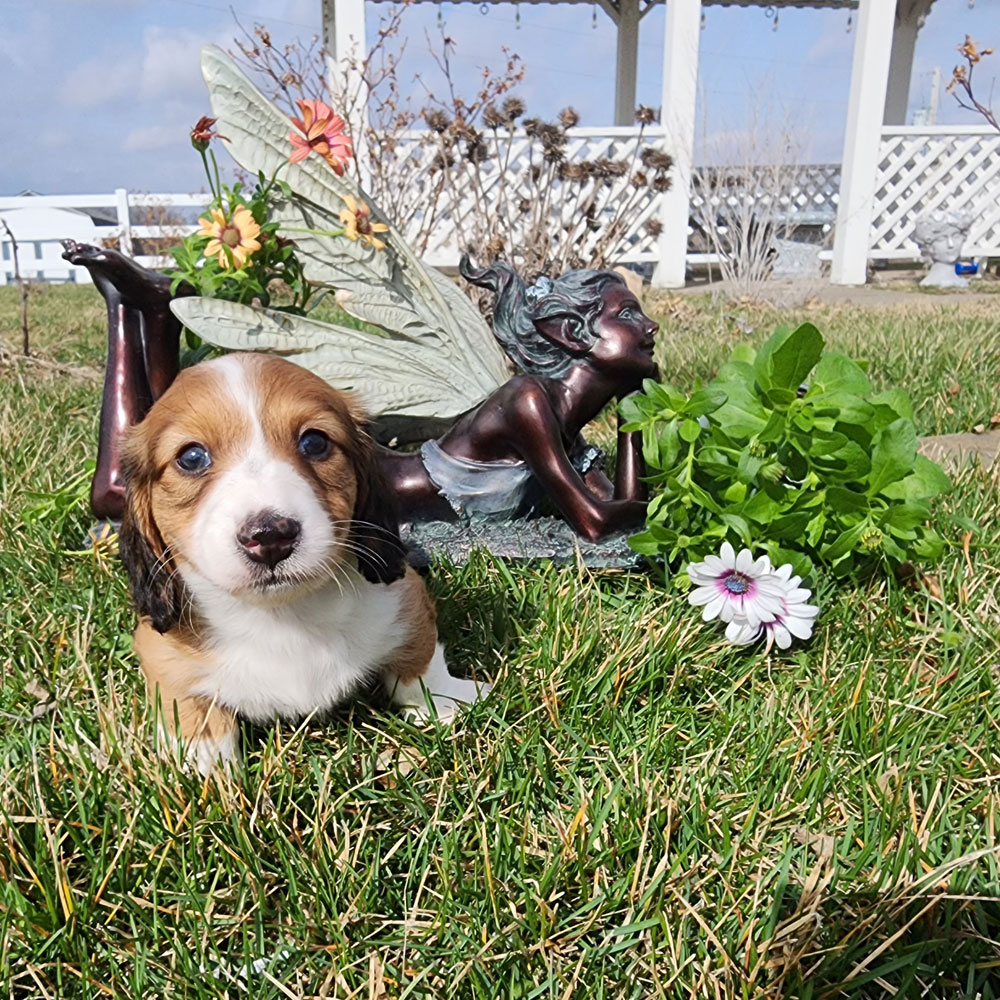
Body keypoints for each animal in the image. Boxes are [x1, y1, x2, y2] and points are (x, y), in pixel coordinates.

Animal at [119, 354, 486, 772]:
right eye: (191, 457)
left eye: (314, 442)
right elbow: (189, 703)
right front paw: (201, 761)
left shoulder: (406, 598)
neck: (284, 618)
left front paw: (448, 703)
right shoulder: (159, 649)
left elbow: (417, 668)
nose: (269, 537)